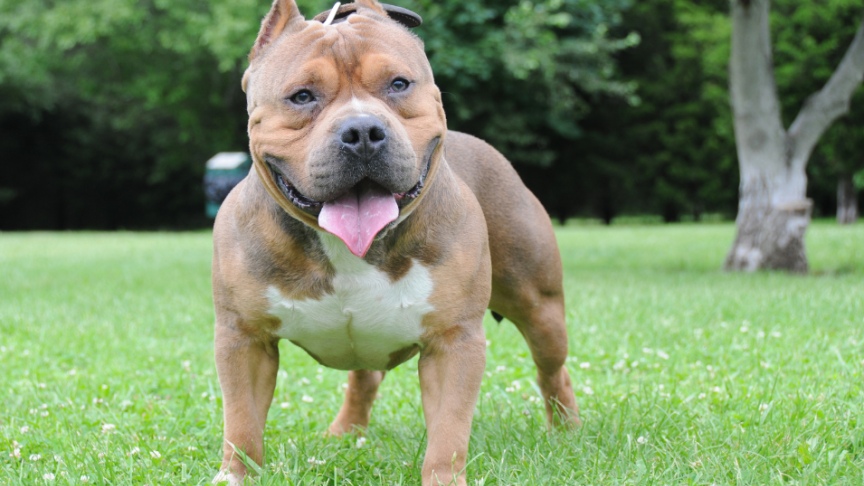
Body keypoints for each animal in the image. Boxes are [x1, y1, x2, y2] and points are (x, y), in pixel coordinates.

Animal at [210, 1, 580, 484]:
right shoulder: (244, 340)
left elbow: (448, 433)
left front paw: (444, 478)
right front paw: (236, 474)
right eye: (302, 96)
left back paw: (568, 431)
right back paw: (345, 433)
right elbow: (242, 423)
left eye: (399, 84)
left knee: (553, 369)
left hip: (539, 306)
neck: (348, 250)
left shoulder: (452, 342)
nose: (363, 131)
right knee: (364, 377)